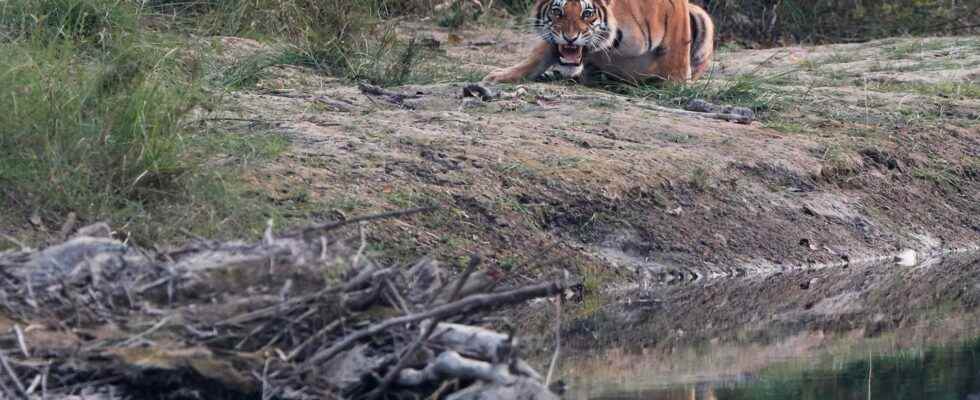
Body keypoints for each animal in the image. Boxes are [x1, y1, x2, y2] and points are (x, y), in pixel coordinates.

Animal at [486, 0, 716, 83]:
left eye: (586, 13)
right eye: (557, 11)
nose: (570, 37)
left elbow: (675, 65)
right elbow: (539, 54)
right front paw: (501, 76)